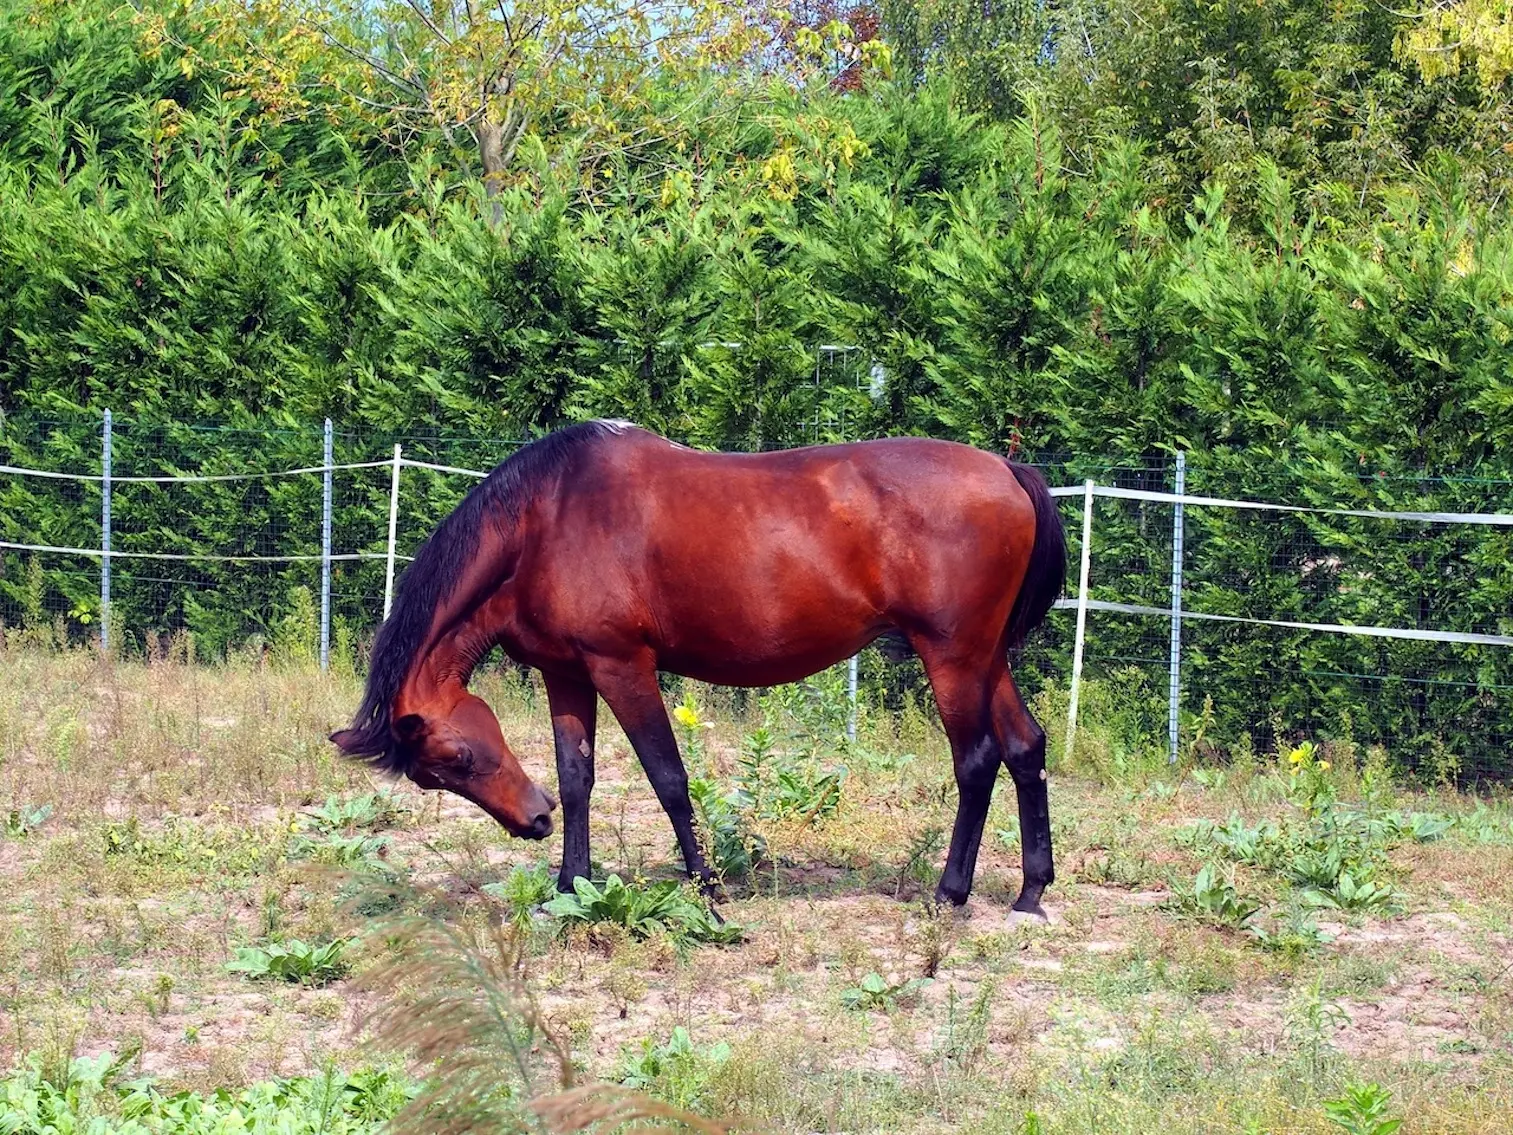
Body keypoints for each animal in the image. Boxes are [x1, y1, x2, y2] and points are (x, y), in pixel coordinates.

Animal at [331, 423, 1065, 920]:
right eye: (433, 777)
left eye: (456, 758)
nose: (530, 821)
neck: (547, 518)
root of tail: (1008, 470)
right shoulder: (566, 673)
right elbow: (578, 777)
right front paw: (571, 886)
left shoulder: (622, 666)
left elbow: (667, 777)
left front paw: (708, 889)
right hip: (986, 656)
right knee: (1025, 746)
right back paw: (1030, 890)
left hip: (952, 657)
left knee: (976, 761)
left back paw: (950, 892)